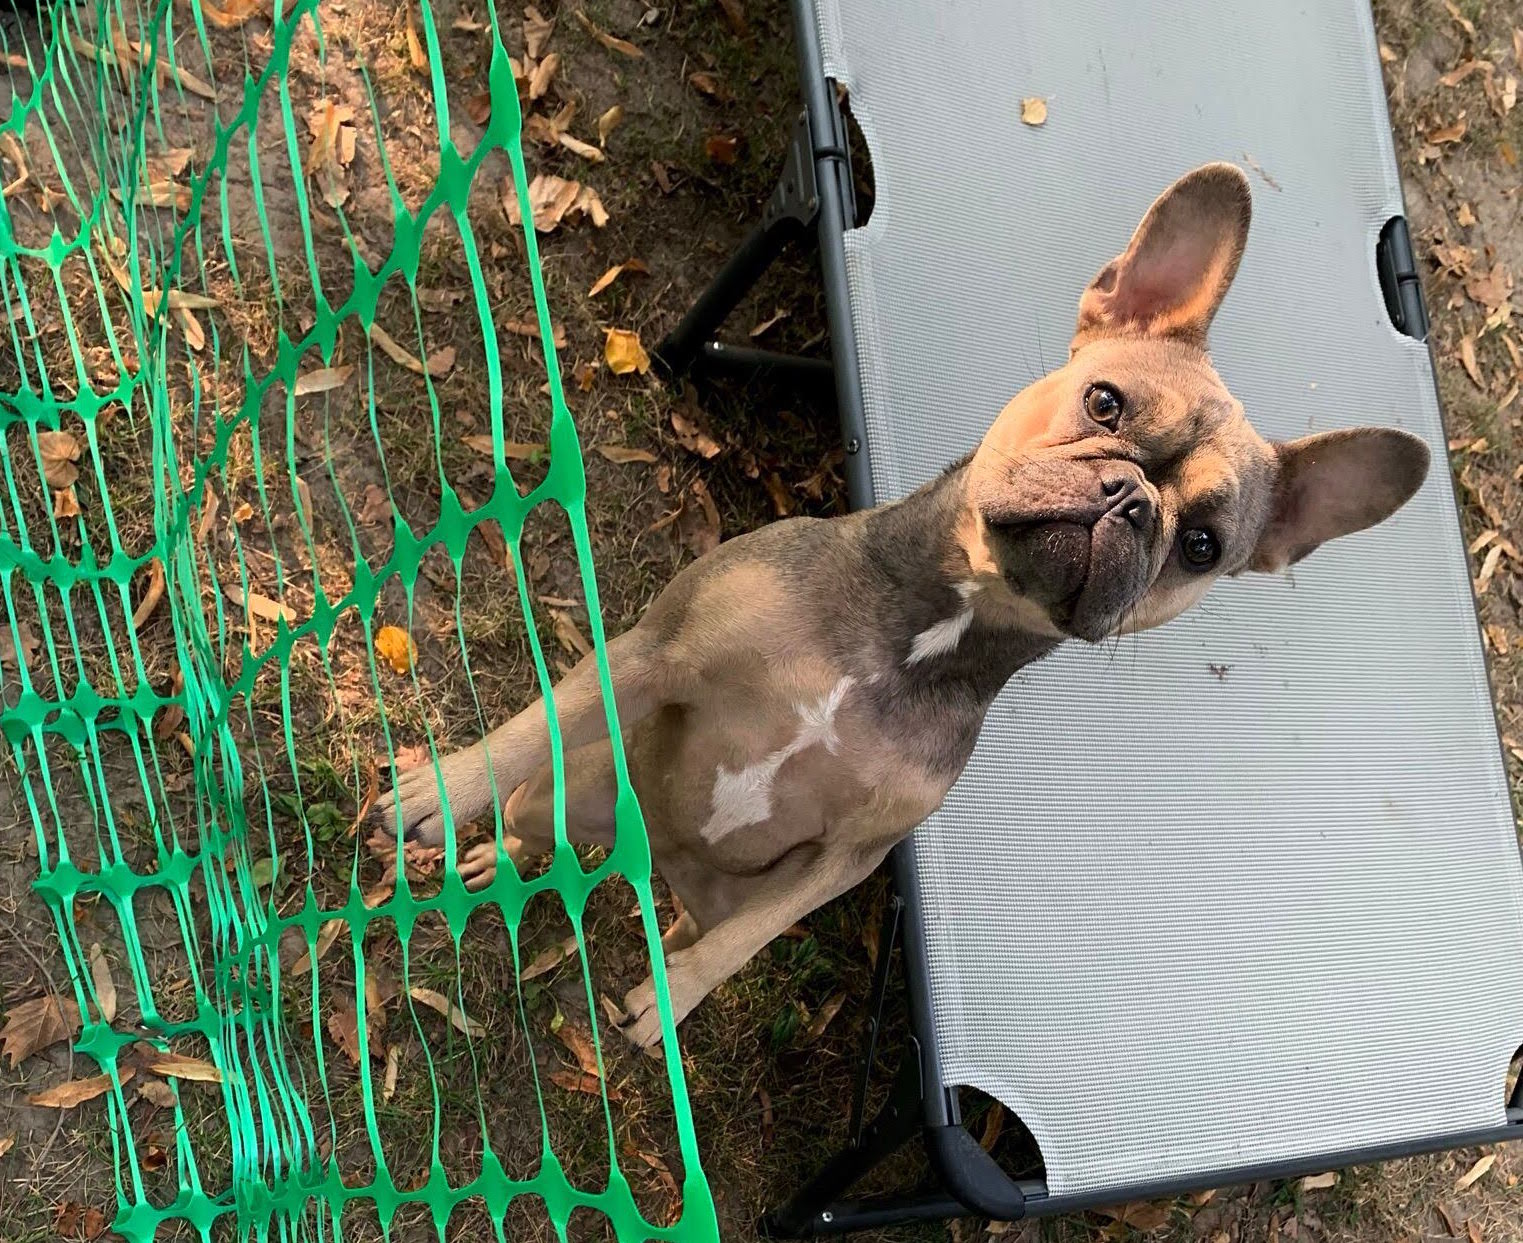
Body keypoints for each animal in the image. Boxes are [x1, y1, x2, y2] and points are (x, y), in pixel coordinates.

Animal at [368, 159, 1425, 1041]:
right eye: (1104, 403)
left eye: (1202, 545)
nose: (1130, 501)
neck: (923, 629)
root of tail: (655, 852)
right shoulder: (653, 654)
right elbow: (534, 723)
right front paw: (442, 789)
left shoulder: (852, 852)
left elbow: (757, 932)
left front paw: (677, 994)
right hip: (581, 779)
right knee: (532, 802)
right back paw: (480, 846)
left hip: (696, 881)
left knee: (658, 896)